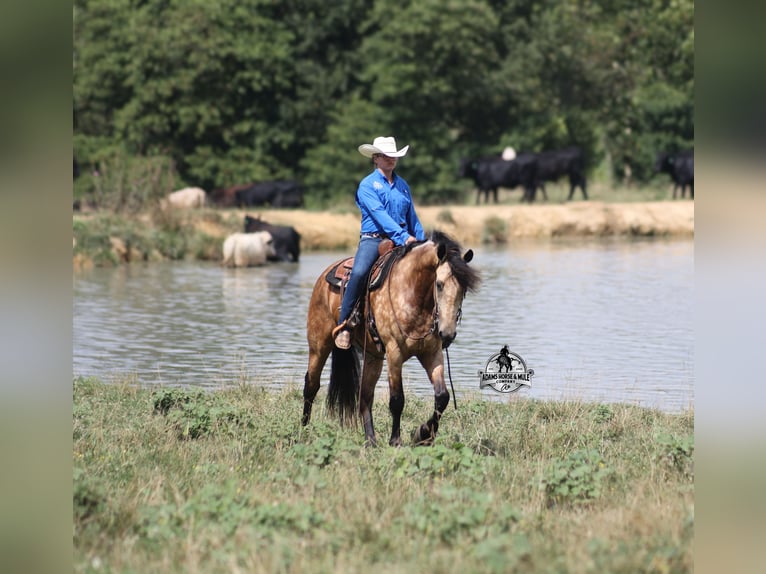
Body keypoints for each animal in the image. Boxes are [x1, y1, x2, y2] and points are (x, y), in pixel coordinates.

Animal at [302, 230, 480, 447]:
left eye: (464, 290)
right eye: (439, 284)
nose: (447, 334)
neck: (413, 296)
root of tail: (323, 276)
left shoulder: (432, 353)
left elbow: (442, 397)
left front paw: (424, 434)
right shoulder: (395, 353)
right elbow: (397, 400)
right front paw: (396, 440)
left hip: (373, 357)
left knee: (365, 396)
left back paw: (371, 440)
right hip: (319, 345)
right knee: (311, 385)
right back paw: (303, 431)